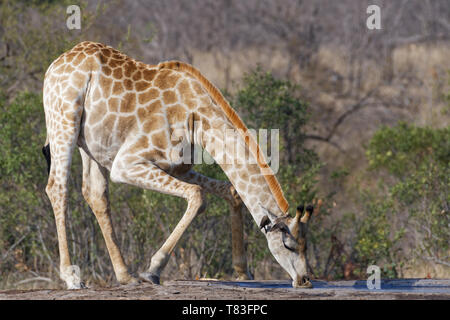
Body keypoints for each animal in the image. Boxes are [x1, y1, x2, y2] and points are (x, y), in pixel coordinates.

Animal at [44, 41, 314, 288]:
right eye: (288, 245)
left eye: (306, 245)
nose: (304, 280)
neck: (198, 118)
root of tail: (56, 63)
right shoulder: (127, 163)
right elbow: (198, 196)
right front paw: (153, 269)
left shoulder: (179, 167)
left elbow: (232, 191)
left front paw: (242, 271)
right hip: (64, 123)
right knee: (57, 187)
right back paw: (72, 276)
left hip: (92, 146)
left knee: (95, 194)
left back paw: (125, 275)